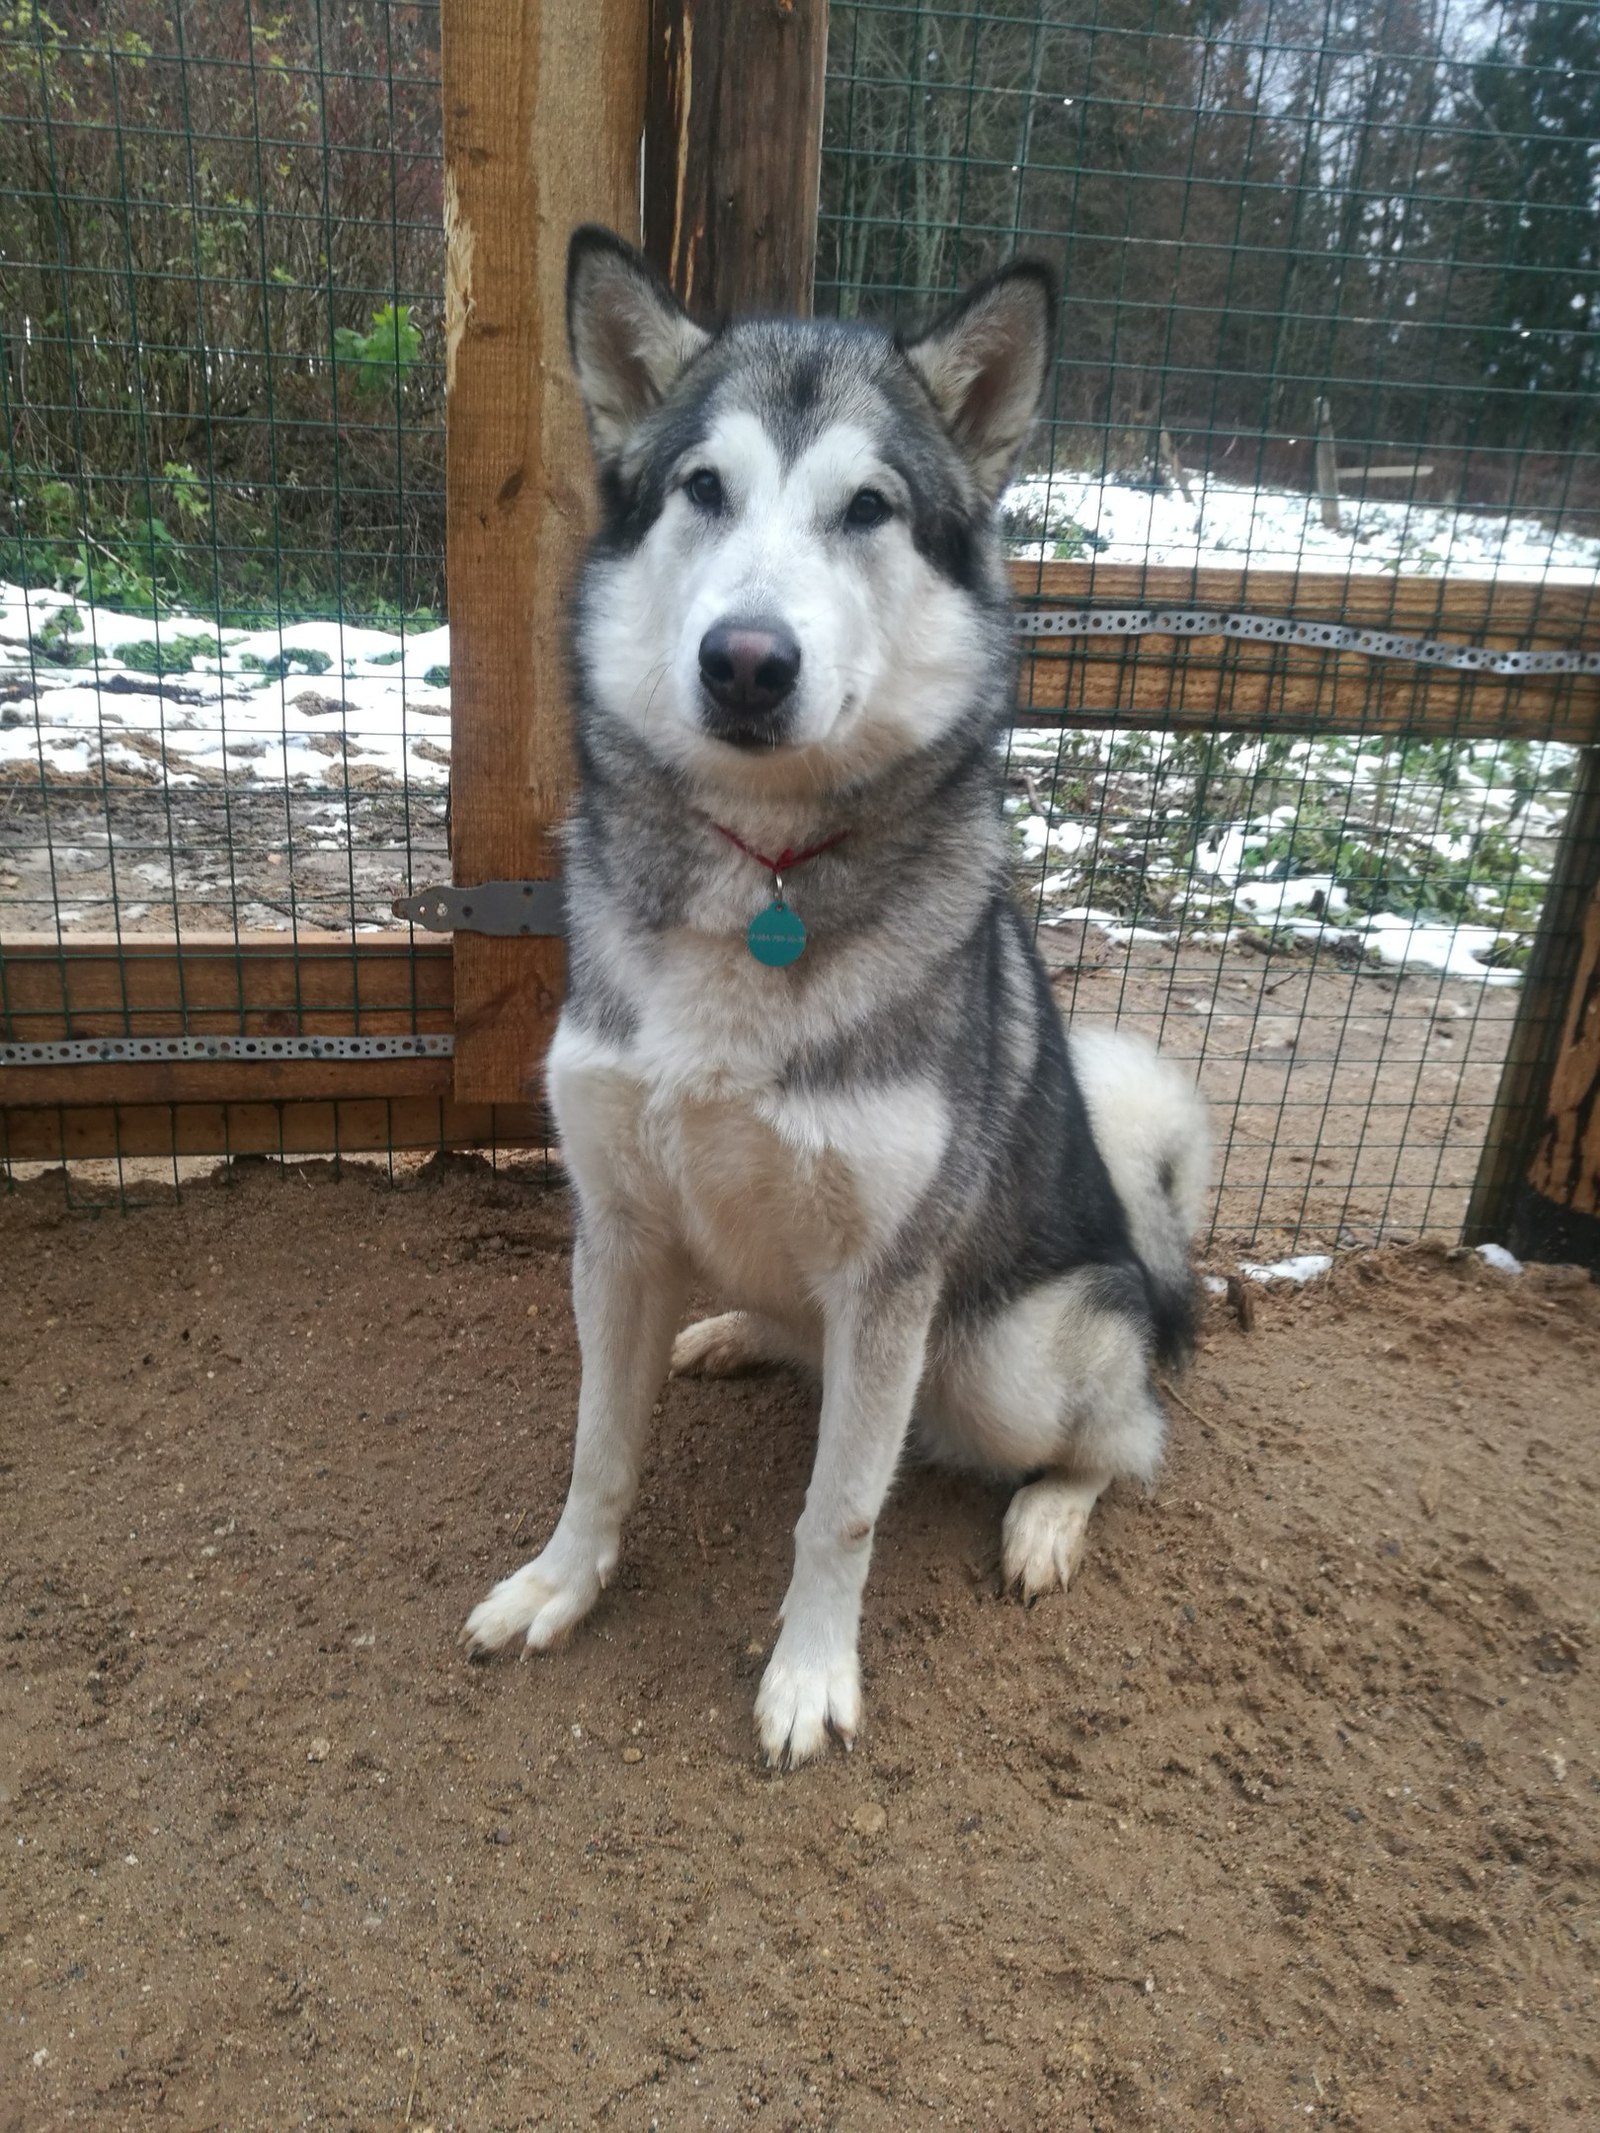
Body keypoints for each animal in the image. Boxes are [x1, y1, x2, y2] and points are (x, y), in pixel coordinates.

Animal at [467, 229, 1211, 1766]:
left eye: (869, 508)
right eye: (703, 488)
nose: (747, 659)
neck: (763, 874)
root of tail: (1149, 1254)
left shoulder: (887, 1282)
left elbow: (842, 1510)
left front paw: (810, 1675)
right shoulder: (615, 1231)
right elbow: (598, 1452)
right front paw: (562, 1586)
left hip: (1005, 1357)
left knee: (1127, 1435)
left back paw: (1050, 1515)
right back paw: (735, 1334)